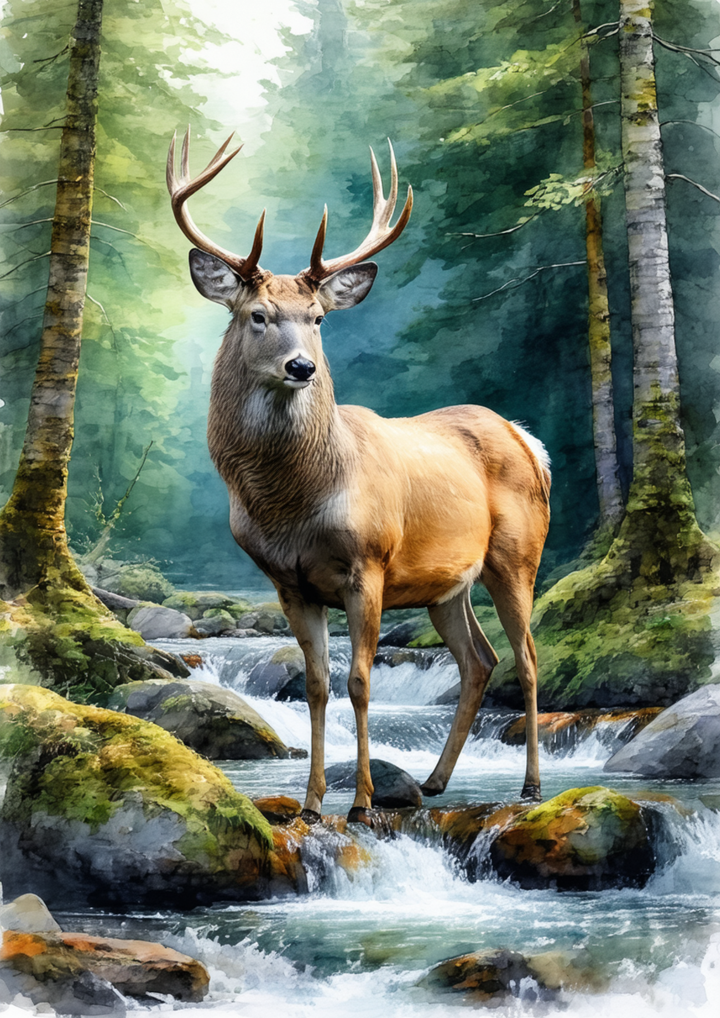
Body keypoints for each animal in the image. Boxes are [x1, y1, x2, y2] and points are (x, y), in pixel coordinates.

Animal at [167, 129, 551, 825]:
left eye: (318, 318)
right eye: (258, 314)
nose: (301, 367)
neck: (293, 501)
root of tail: (526, 438)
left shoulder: (367, 564)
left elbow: (360, 681)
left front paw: (363, 801)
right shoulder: (287, 581)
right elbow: (317, 685)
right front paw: (313, 801)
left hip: (517, 552)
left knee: (529, 659)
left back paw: (530, 786)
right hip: (446, 584)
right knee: (479, 661)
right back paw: (434, 781)